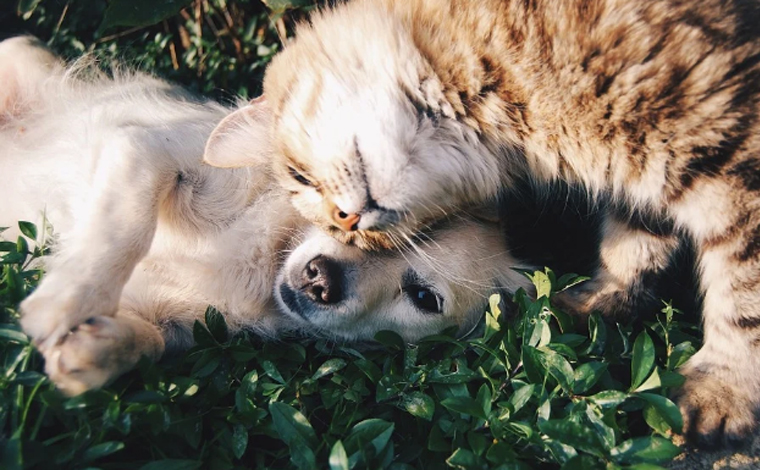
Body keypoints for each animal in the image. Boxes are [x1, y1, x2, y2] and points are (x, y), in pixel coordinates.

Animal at [205, 0, 760, 448]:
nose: (349, 222)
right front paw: (598, 302)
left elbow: (743, 297)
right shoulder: (644, 180)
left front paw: (723, 389)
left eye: (300, 177)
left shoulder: (731, 157)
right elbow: (634, 245)